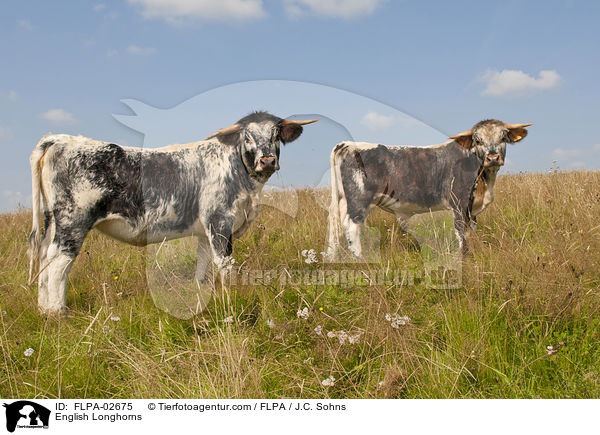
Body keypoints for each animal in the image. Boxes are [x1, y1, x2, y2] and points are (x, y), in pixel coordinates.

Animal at [328, 119, 528, 258]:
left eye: (503, 137)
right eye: (477, 140)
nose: (492, 158)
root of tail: (347, 145)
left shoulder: (472, 210)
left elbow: (472, 232)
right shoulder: (458, 203)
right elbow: (461, 234)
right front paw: (463, 258)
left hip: (342, 200)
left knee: (335, 226)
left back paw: (332, 258)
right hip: (359, 199)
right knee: (351, 227)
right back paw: (361, 260)